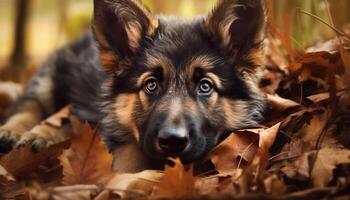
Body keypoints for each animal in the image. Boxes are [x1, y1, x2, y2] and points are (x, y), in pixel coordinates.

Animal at [0, 0, 266, 172]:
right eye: (151, 85)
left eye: (205, 86)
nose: (173, 141)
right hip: (48, 79)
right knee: (31, 105)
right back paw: (17, 132)